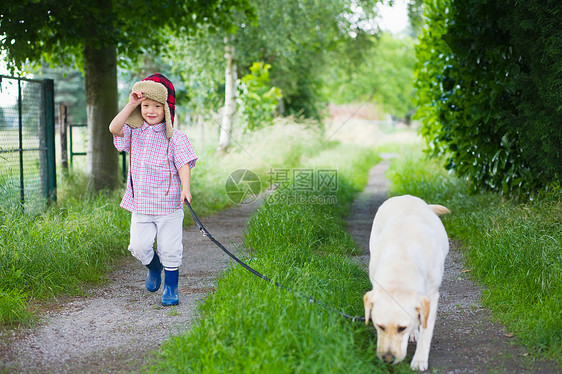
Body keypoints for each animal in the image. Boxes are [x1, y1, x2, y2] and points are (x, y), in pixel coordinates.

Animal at [360, 196, 448, 372]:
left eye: (402, 328)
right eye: (380, 326)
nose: (388, 358)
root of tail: (405, 196)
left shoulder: (432, 297)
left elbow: (426, 330)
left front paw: (419, 360)